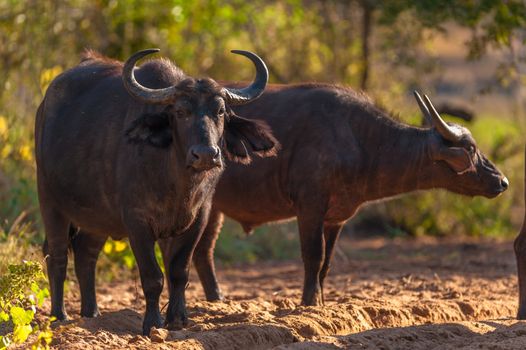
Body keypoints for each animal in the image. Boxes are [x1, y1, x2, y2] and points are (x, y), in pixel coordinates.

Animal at [36, 48, 280, 334]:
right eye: (181, 111)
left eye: (220, 111)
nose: (205, 155)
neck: (177, 183)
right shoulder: (137, 222)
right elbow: (153, 276)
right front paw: (152, 323)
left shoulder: (198, 218)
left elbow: (178, 271)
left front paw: (178, 319)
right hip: (50, 201)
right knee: (57, 255)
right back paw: (59, 315)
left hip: (97, 217)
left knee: (86, 253)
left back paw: (92, 314)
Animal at [179, 85, 510, 306]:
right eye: (470, 149)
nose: (502, 181)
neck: (361, 140)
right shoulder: (310, 206)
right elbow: (313, 255)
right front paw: (309, 303)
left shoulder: (336, 218)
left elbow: (327, 263)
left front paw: (322, 301)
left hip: (214, 208)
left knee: (203, 251)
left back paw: (217, 300)